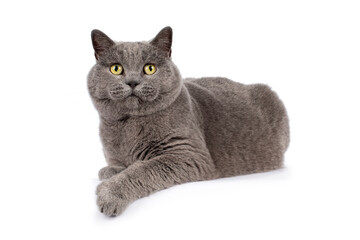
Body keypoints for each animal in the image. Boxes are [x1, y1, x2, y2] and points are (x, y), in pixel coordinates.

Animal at [87, 26, 290, 216]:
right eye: (116, 68)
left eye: (149, 68)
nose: (132, 82)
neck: (128, 126)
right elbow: (119, 166)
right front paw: (110, 171)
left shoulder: (188, 154)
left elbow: (142, 168)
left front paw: (111, 194)